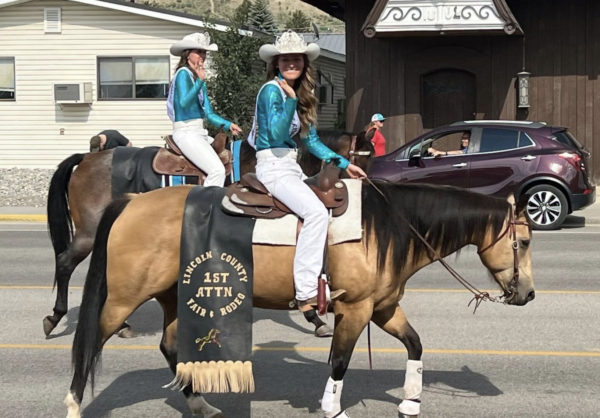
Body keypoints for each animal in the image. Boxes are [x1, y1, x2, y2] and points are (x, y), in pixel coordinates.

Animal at [44, 130, 374, 338]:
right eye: (362, 158)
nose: (367, 184)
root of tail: (86, 158)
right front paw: (315, 317)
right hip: (89, 233)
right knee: (64, 262)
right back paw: (57, 316)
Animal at [64, 181, 534, 418]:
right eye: (525, 241)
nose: (528, 294)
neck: (389, 224)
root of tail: (130, 202)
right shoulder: (355, 309)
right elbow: (339, 362)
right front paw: (333, 409)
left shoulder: (382, 308)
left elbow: (415, 344)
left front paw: (410, 400)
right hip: (123, 299)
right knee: (88, 345)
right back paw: (73, 405)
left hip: (174, 297)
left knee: (169, 345)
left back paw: (200, 402)